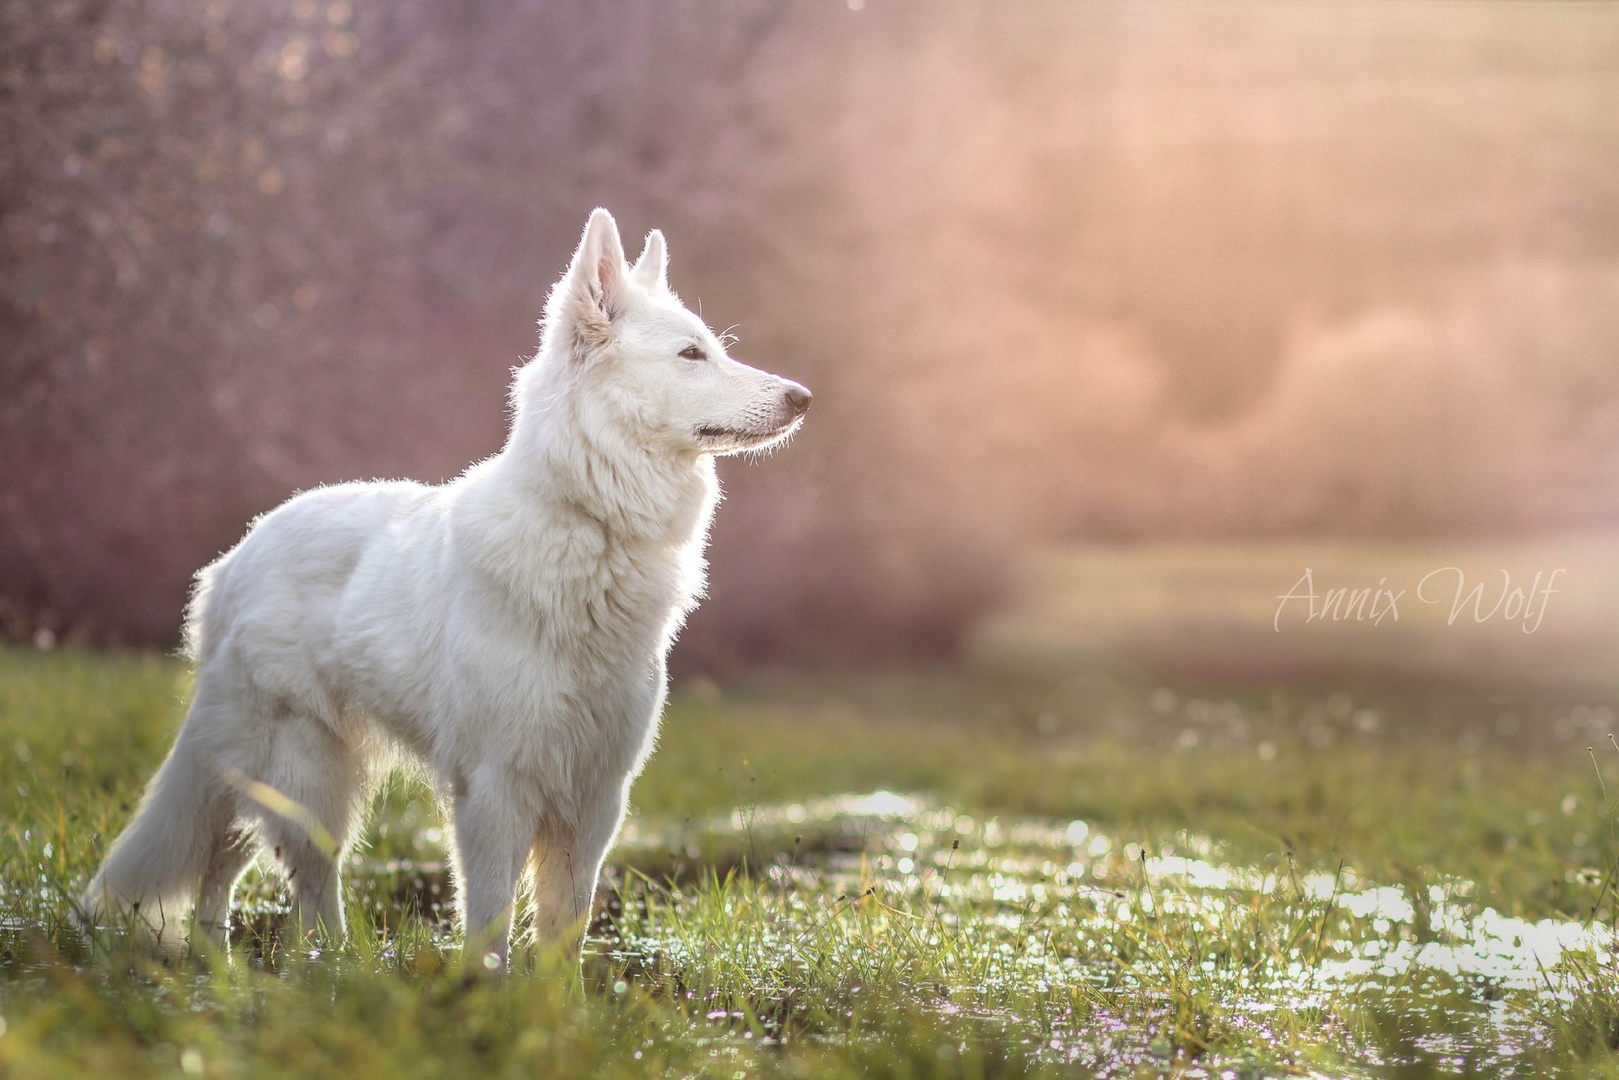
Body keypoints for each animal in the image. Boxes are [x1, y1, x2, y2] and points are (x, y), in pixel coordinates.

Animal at [81, 208, 810, 964]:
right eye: (690, 355)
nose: (804, 398)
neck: (590, 525)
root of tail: (233, 560)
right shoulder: (494, 790)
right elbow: (490, 926)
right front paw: (486, 995)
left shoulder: (594, 796)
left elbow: (563, 939)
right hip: (307, 775)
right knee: (308, 887)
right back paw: (328, 971)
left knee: (223, 867)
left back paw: (223, 967)